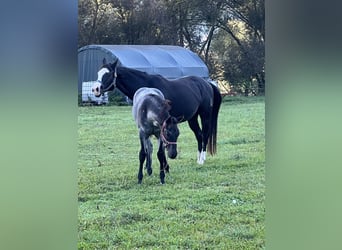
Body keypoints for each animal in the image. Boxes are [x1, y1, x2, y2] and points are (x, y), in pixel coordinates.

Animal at [93, 58, 222, 164]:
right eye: (98, 73)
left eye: (108, 74)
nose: (95, 89)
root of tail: (207, 84)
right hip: (192, 118)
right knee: (199, 135)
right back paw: (198, 159)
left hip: (205, 115)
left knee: (205, 134)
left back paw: (202, 160)